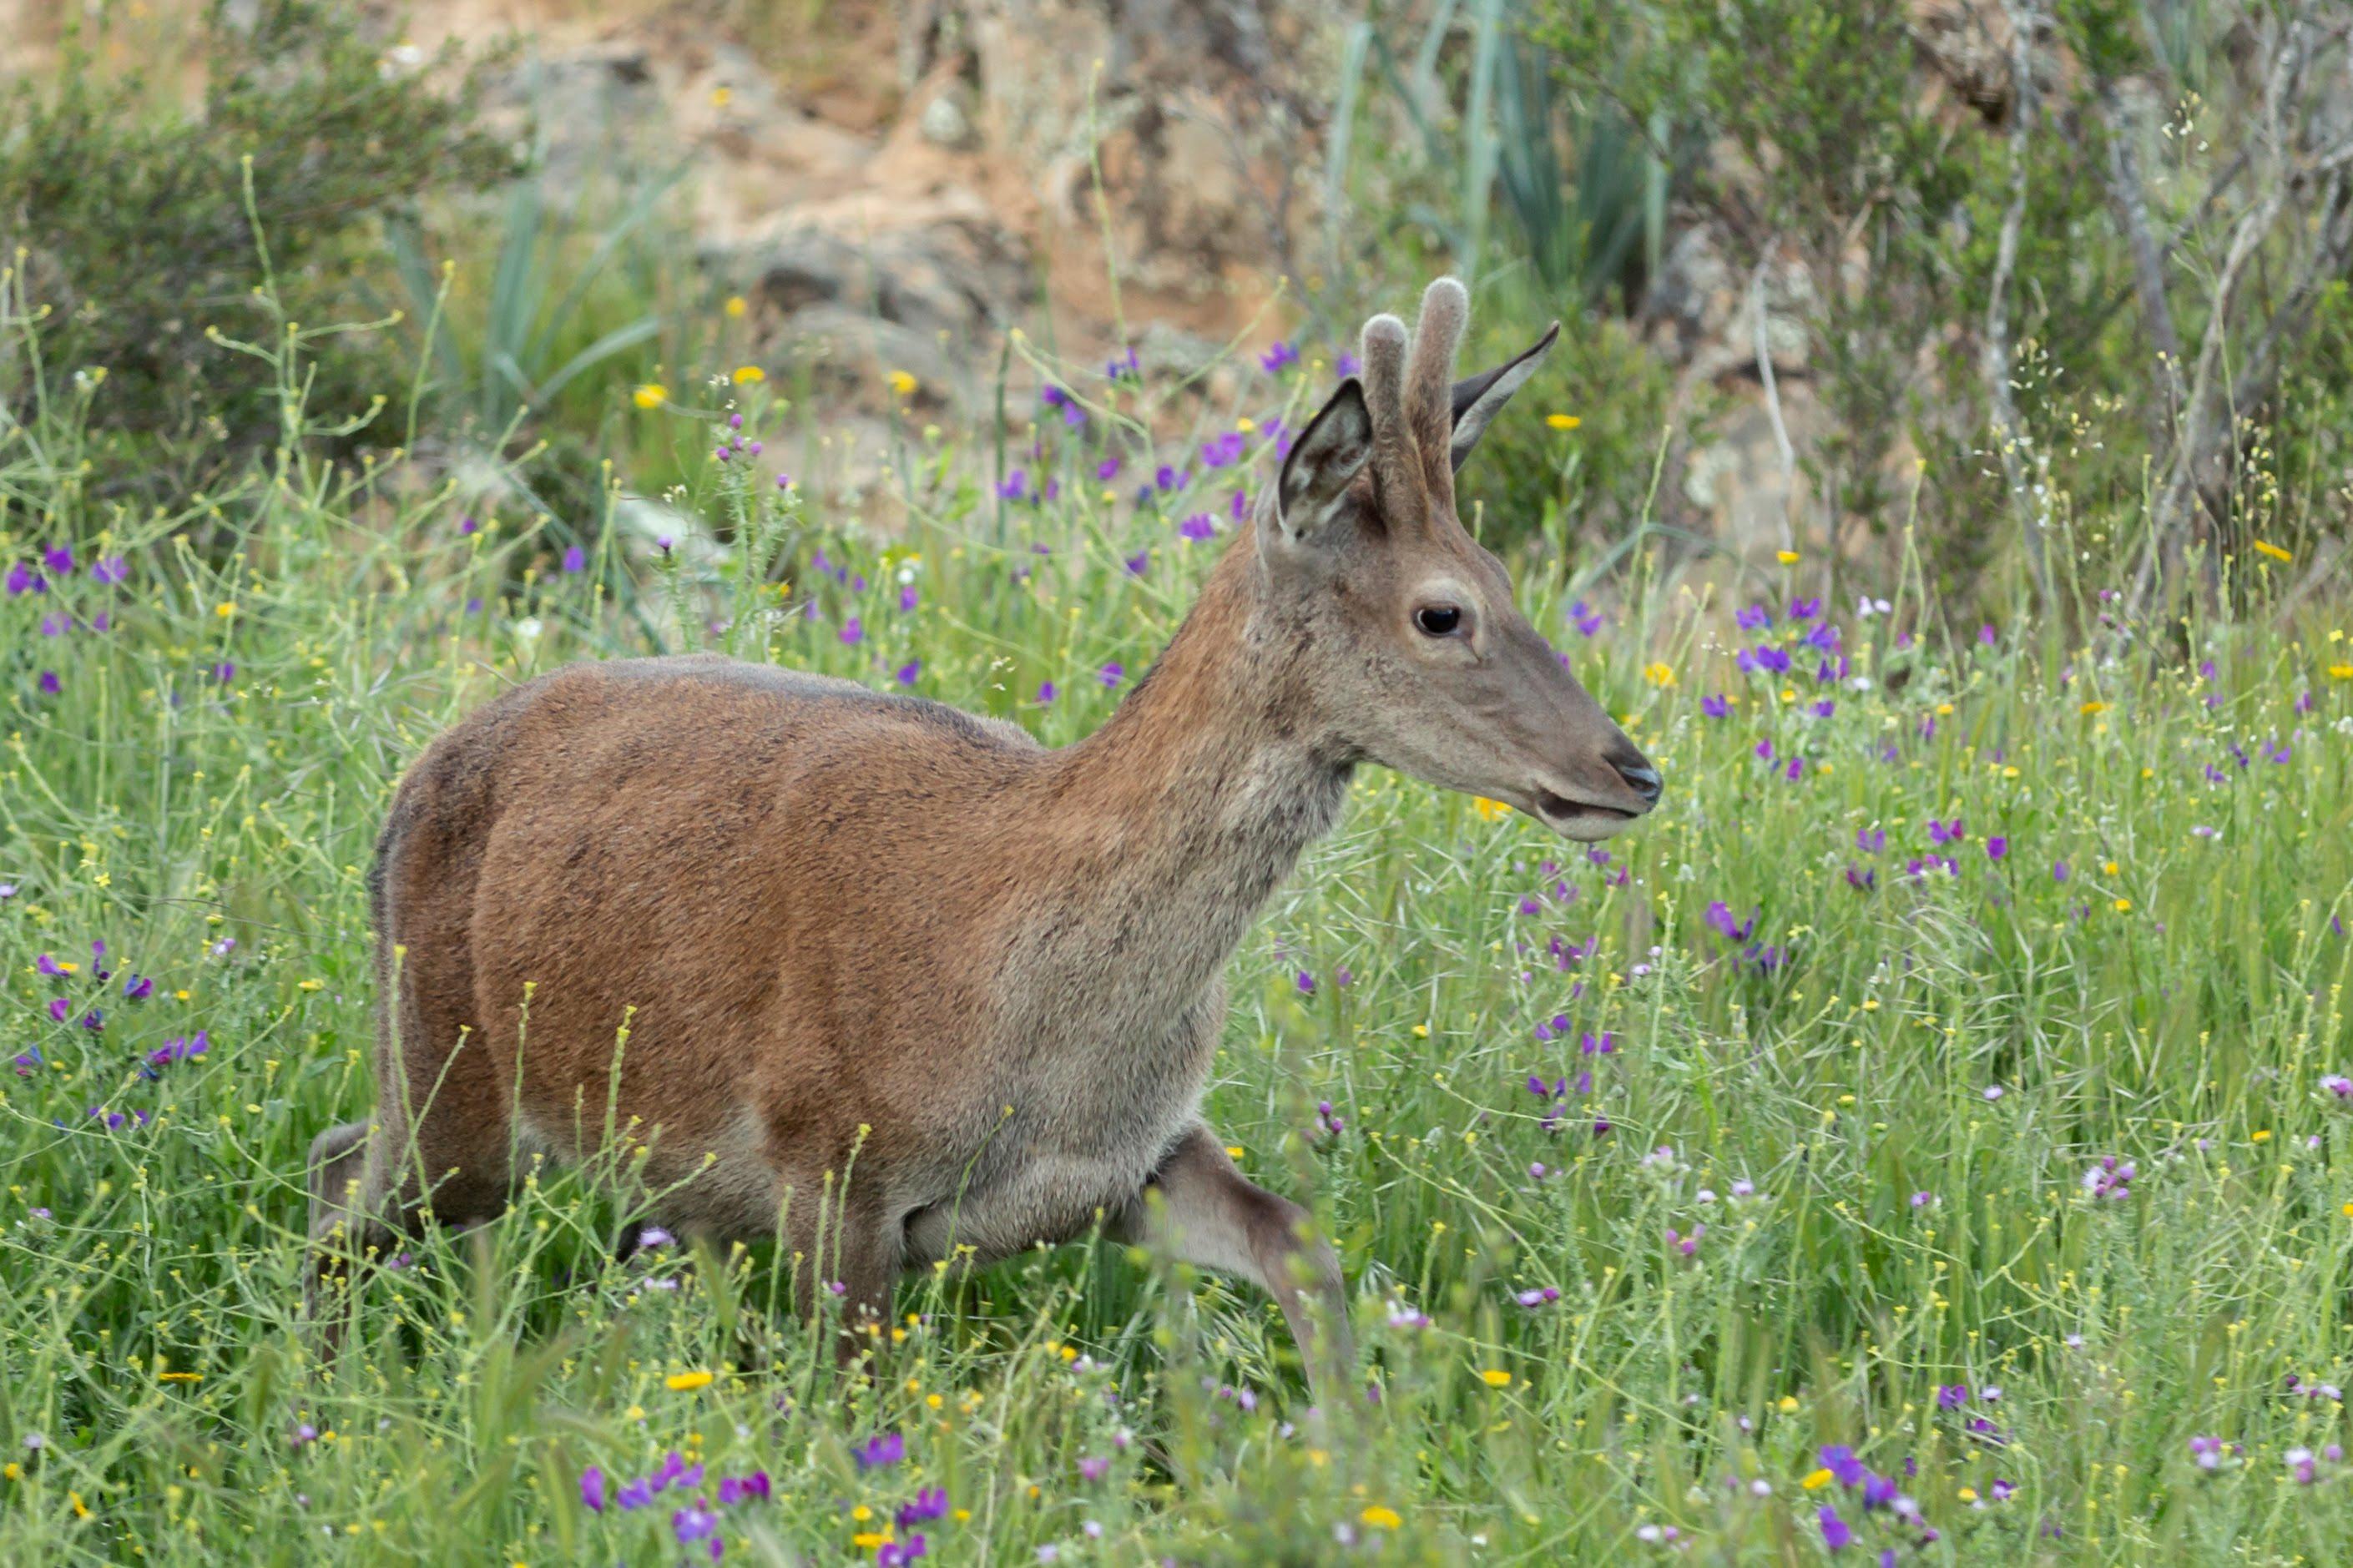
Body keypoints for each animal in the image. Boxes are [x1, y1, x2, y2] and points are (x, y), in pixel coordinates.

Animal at [312, 278, 1665, 1410]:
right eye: (1442, 611)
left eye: (1508, 577)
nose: (1631, 769)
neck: (1027, 996)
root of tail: (403, 793)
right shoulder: (828, 1158)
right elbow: (854, 1412)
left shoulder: (1129, 1159)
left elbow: (1302, 1241)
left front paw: (1348, 1449)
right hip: (448, 1068)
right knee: (346, 1195)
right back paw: (326, 1403)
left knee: (348, 1169)